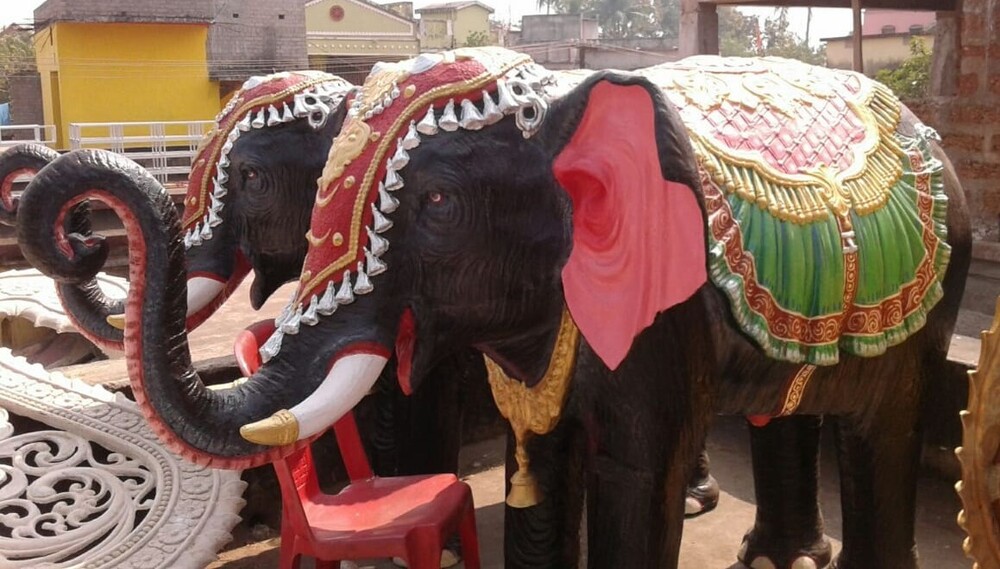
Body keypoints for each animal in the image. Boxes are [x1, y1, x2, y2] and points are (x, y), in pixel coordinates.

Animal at [15, 47, 970, 569]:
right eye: (313, 190)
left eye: (437, 204)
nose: (83, 236)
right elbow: (531, 447)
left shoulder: (663, 299)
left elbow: (634, 467)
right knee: (791, 405)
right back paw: (778, 553)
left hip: (937, 286)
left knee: (884, 422)